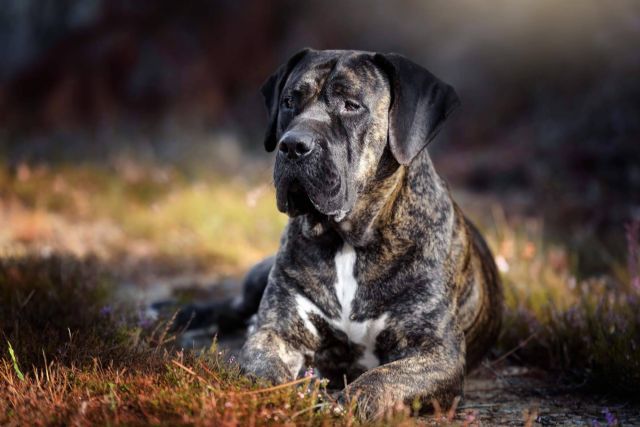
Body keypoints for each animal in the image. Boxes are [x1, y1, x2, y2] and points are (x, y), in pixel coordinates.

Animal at [178, 48, 502, 420]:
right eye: (289, 101)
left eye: (351, 105)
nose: (293, 145)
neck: (346, 241)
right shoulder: (278, 331)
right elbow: (264, 369)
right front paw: (282, 396)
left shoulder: (434, 351)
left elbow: (379, 380)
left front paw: (342, 404)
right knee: (235, 306)